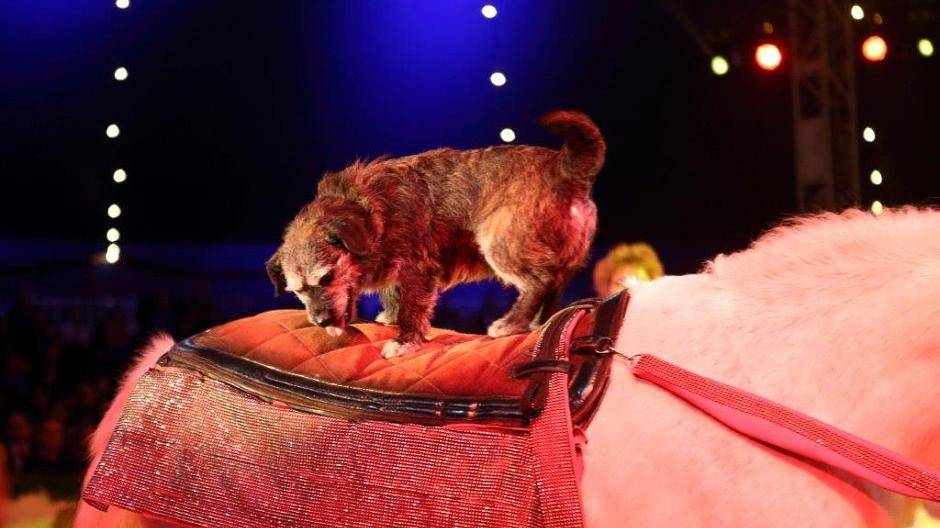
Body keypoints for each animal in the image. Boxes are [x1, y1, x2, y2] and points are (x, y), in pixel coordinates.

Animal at [266, 110, 605, 358]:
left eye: (327, 277)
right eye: (297, 290)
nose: (320, 321)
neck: (368, 209)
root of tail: (565, 167)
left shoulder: (418, 270)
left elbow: (412, 307)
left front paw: (405, 340)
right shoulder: (395, 274)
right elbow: (394, 297)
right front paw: (391, 317)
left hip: (499, 245)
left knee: (540, 282)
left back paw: (512, 323)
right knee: (554, 285)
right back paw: (538, 323)